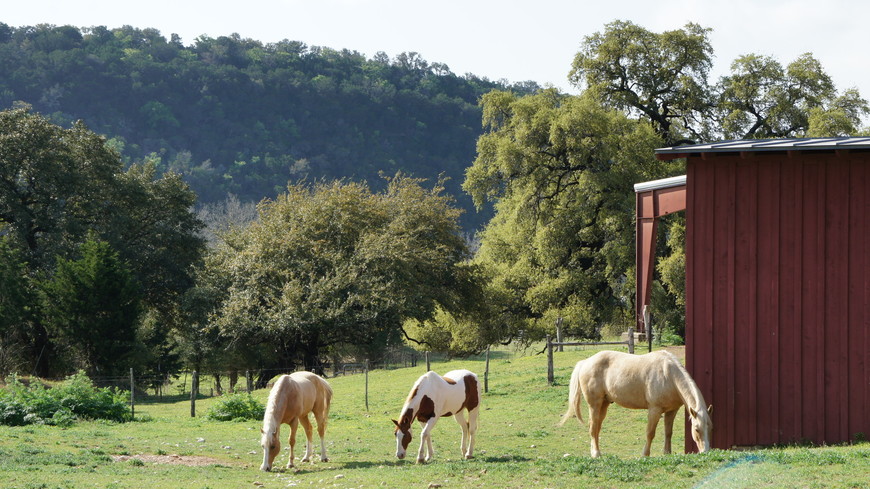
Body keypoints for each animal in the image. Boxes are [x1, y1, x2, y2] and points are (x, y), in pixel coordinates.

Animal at [560, 348, 716, 456]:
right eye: (696, 429)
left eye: (710, 428)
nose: (706, 452)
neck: (668, 375)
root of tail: (585, 362)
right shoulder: (654, 410)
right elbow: (650, 433)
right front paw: (645, 454)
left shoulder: (672, 411)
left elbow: (668, 432)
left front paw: (667, 453)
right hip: (594, 404)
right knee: (593, 428)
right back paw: (596, 454)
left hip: (604, 405)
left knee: (597, 427)